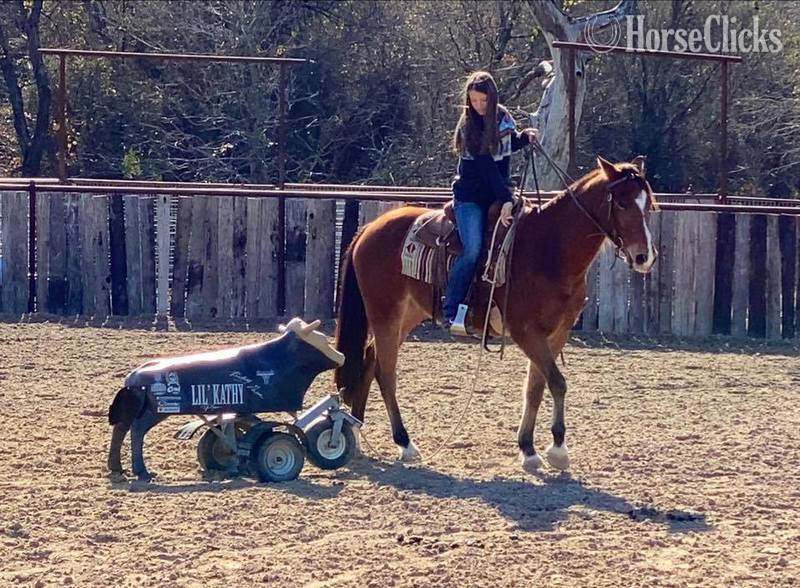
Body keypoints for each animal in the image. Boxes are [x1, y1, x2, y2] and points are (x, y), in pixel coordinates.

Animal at [334, 156, 658, 473]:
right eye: (622, 203)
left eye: (648, 206)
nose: (644, 257)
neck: (550, 248)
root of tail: (369, 228)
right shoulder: (527, 332)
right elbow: (556, 382)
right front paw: (557, 450)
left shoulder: (556, 333)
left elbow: (536, 387)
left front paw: (528, 449)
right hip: (385, 313)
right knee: (385, 371)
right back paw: (405, 443)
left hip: (406, 315)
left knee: (369, 360)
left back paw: (356, 432)